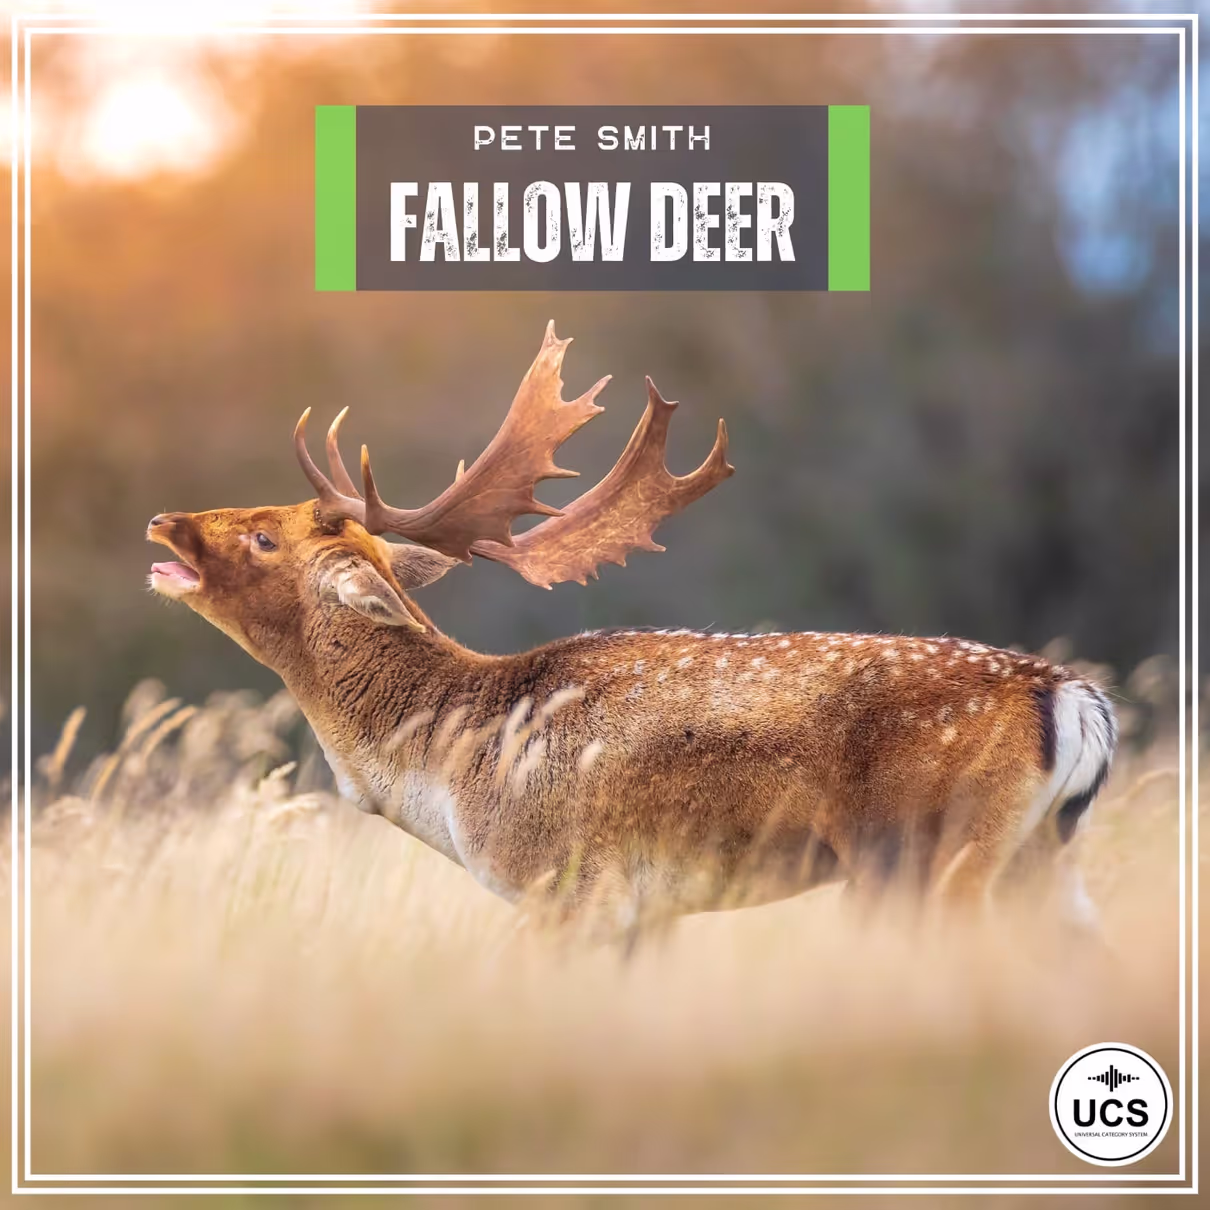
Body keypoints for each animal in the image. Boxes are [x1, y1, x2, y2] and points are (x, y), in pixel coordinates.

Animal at [147, 322, 1116, 941]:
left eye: (265, 537)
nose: (164, 521)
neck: (449, 772)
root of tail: (1072, 698)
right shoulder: (644, 915)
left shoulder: (572, 889)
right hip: (1039, 860)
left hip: (926, 856)